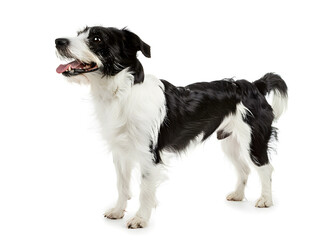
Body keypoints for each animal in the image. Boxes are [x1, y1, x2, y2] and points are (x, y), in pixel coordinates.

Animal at [55, 26, 290, 229]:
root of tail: (254, 85)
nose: (58, 41)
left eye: (96, 38)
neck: (122, 92)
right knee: (243, 168)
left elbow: (144, 190)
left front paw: (140, 219)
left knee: (265, 168)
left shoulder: (150, 156)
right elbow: (122, 185)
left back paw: (265, 200)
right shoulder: (121, 153)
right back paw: (239, 195)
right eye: (79, 33)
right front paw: (118, 211)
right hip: (231, 142)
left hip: (254, 140)